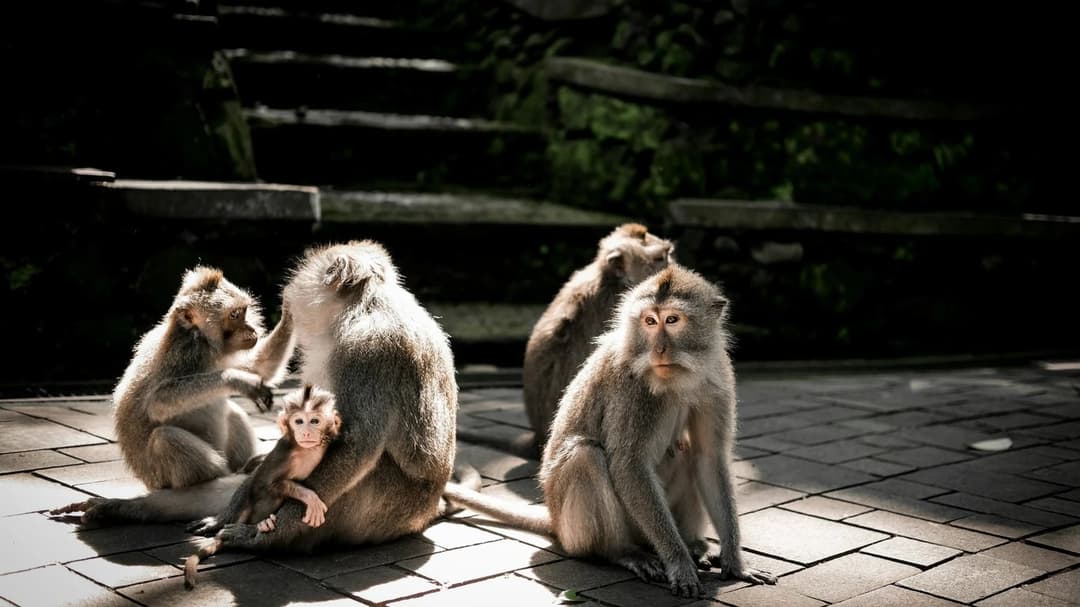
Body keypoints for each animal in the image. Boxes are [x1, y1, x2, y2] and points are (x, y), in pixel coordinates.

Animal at [183, 384, 341, 588]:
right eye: (299, 421)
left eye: (314, 421)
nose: (306, 432)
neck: (307, 450)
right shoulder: (283, 453)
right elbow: (263, 482)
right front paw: (310, 498)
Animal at [444, 264, 776, 598]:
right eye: (649, 321)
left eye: (672, 320)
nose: (659, 349)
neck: (679, 378)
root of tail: (554, 519)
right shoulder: (632, 389)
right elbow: (629, 464)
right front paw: (679, 562)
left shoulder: (717, 380)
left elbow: (709, 457)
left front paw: (735, 561)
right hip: (582, 528)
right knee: (586, 455)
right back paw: (620, 552)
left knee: (687, 451)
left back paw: (694, 544)